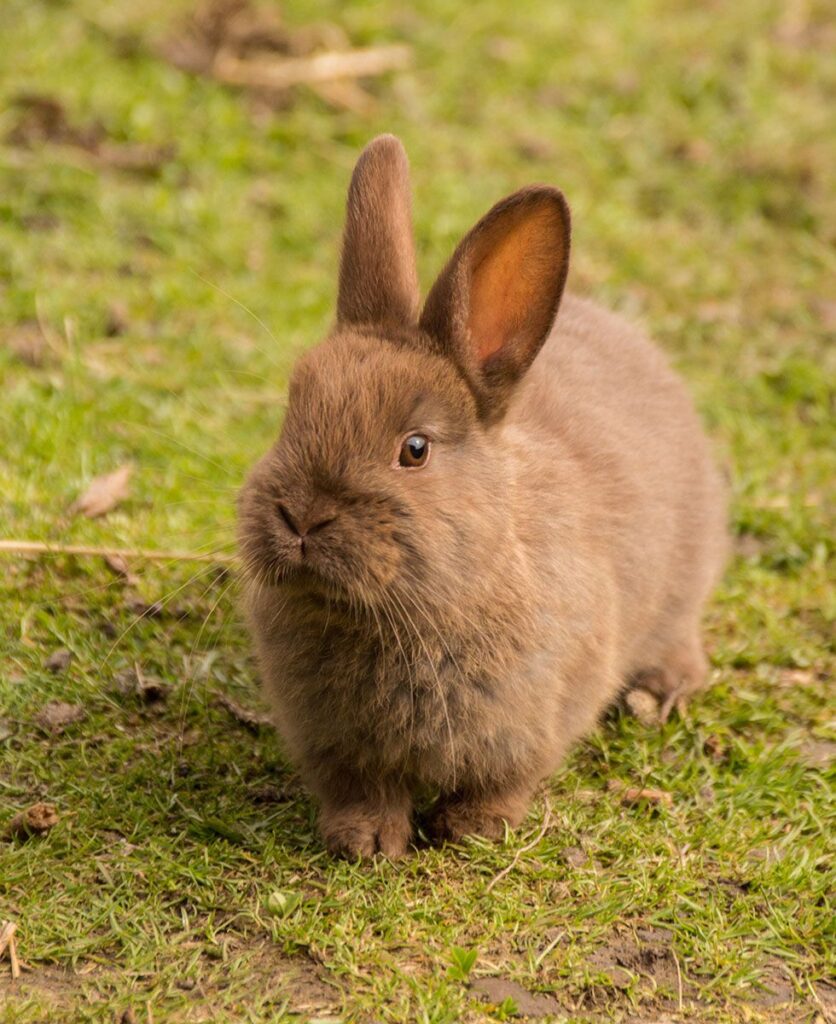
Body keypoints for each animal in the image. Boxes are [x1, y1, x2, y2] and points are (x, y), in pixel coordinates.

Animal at [237, 134, 728, 859]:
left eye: (415, 449)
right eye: (291, 414)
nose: (300, 517)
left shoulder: (535, 723)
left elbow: (504, 781)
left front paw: (470, 830)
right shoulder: (335, 748)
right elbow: (361, 789)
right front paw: (365, 842)